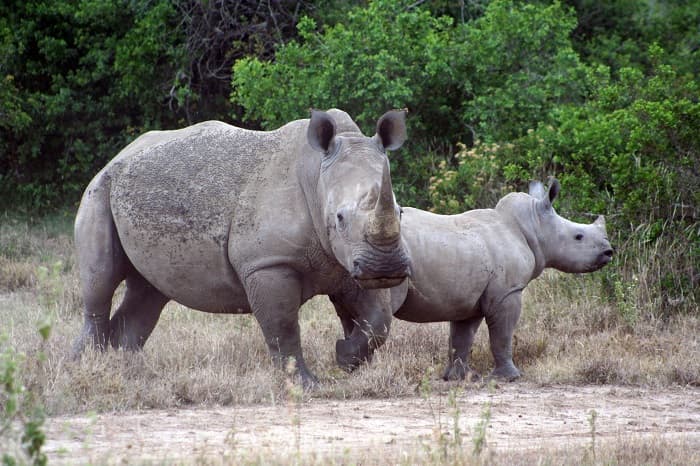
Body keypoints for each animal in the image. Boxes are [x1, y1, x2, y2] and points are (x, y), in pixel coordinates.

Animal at [73, 109, 411, 386]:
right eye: (339, 218)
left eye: (399, 212)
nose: (386, 267)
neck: (317, 176)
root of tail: (119, 155)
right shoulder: (267, 263)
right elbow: (283, 326)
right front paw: (305, 385)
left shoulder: (347, 261)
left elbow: (378, 320)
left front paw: (344, 357)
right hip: (99, 190)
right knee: (101, 281)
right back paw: (87, 365)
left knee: (149, 290)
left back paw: (128, 370)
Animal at [333, 179, 613, 381]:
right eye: (578, 237)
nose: (609, 252)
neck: (533, 226)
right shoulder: (507, 292)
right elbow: (502, 335)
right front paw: (510, 378)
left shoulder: (470, 298)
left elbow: (462, 338)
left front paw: (460, 378)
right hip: (373, 263)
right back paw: (348, 363)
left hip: (353, 261)